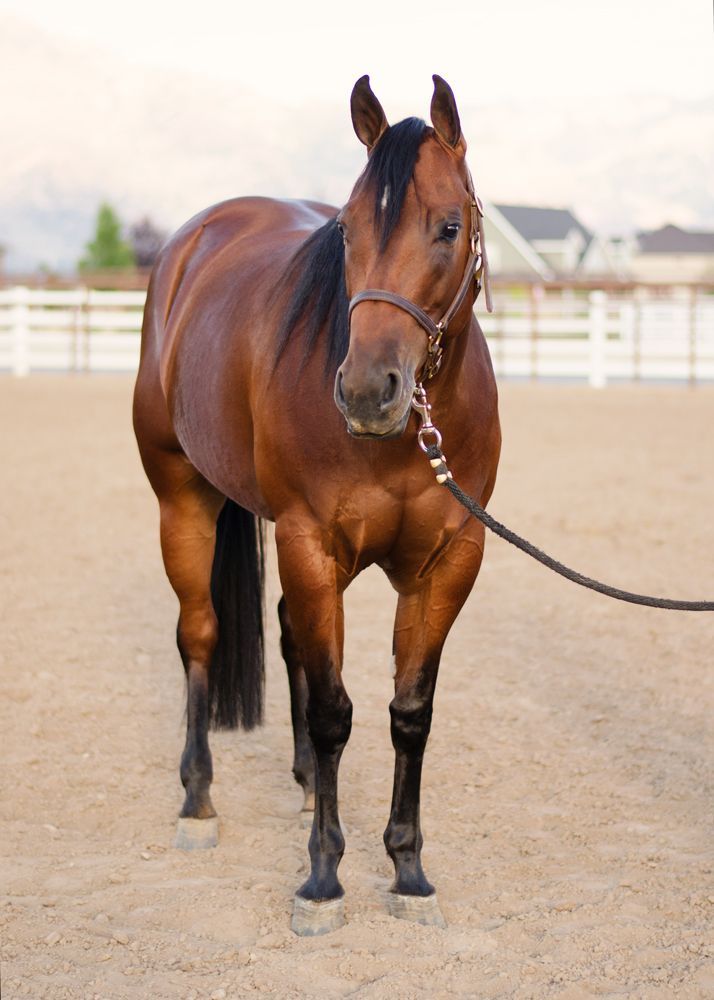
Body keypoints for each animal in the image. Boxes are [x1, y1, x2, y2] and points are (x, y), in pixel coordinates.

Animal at [134, 74, 500, 932]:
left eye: (449, 225)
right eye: (346, 232)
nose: (368, 391)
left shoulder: (450, 562)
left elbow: (410, 711)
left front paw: (408, 871)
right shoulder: (309, 542)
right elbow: (337, 711)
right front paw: (324, 878)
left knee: (289, 634)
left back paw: (303, 785)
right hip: (181, 497)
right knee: (199, 635)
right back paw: (197, 803)